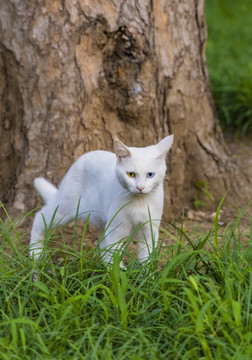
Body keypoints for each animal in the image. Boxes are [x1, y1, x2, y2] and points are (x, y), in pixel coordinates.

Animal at [30, 135, 173, 264]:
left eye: (150, 175)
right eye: (131, 174)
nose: (140, 187)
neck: (139, 202)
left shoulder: (149, 230)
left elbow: (146, 258)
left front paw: (146, 274)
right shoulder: (116, 229)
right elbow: (115, 256)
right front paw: (118, 274)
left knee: (103, 245)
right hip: (64, 209)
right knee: (39, 218)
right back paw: (35, 253)